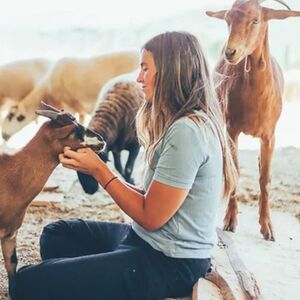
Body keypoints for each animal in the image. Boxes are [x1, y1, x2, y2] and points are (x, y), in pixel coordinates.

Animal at [206, 0, 300, 240]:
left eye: (256, 19)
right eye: (227, 19)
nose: (231, 52)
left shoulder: (270, 136)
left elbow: (265, 179)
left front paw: (267, 228)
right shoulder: (231, 129)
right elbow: (236, 171)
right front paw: (230, 221)